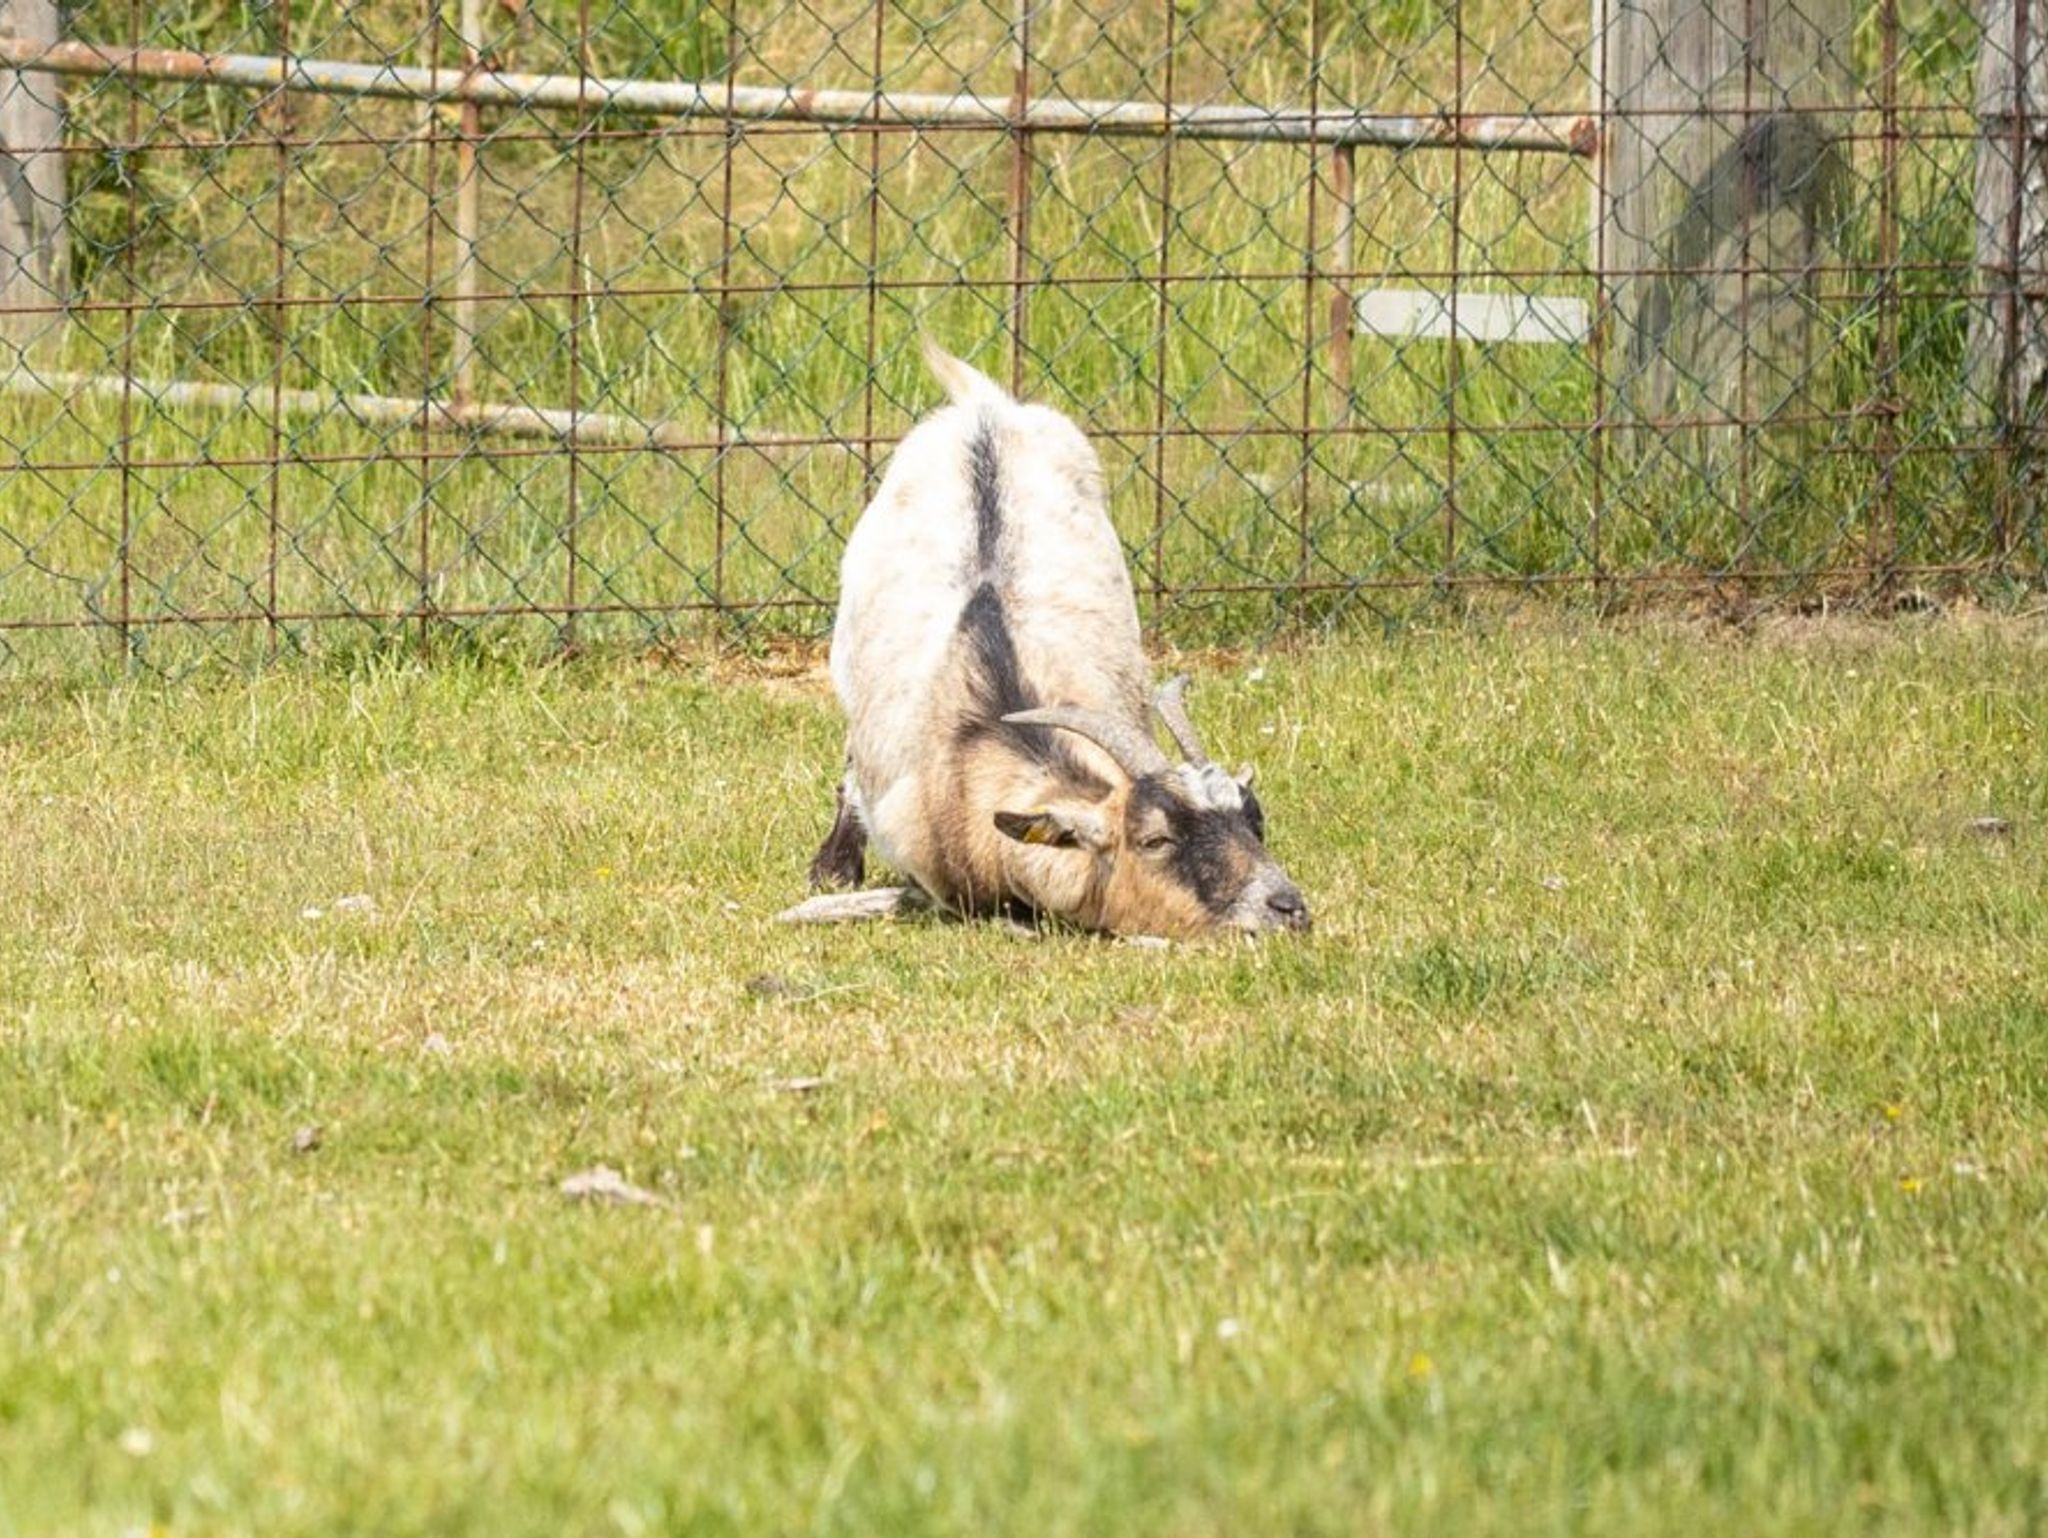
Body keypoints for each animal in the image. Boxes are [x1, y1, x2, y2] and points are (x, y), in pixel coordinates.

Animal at [782, 346, 1310, 937]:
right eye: (1155, 839)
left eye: (1255, 821)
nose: (1287, 907)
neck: (976, 750)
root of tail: (983, 408)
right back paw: (833, 867)